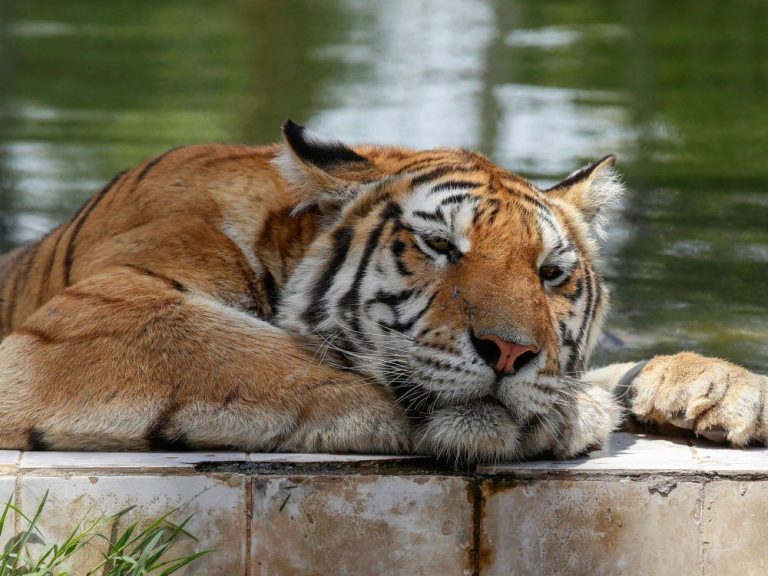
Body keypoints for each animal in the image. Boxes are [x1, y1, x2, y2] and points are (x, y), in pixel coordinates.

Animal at [1, 119, 768, 462]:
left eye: (550, 275)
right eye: (440, 247)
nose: (510, 353)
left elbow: (602, 371)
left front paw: (727, 390)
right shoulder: (98, 319)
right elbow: (273, 363)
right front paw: (570, 416)